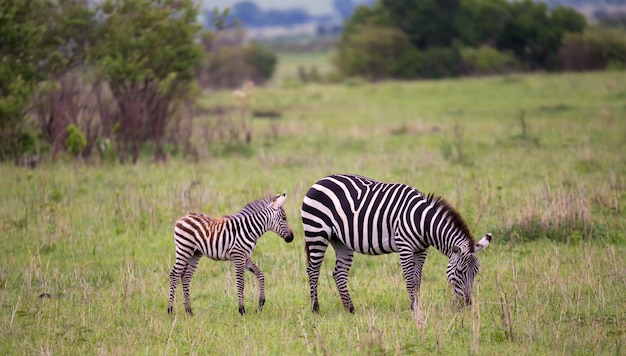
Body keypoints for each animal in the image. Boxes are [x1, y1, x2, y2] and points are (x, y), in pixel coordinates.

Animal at [300, 174, 490, 312]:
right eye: (459, 271)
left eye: (476, 272)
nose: (468, 304)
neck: (423, 223)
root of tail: (319, 181)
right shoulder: (405, 247)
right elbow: (410, 279)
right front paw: (413, 308)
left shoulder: (422, 250)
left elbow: (418, 278)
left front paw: (417, 305)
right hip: (316, 233)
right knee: (313, 270)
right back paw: (315, 308)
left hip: (340, 241)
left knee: (339, 273)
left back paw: (350, 309)